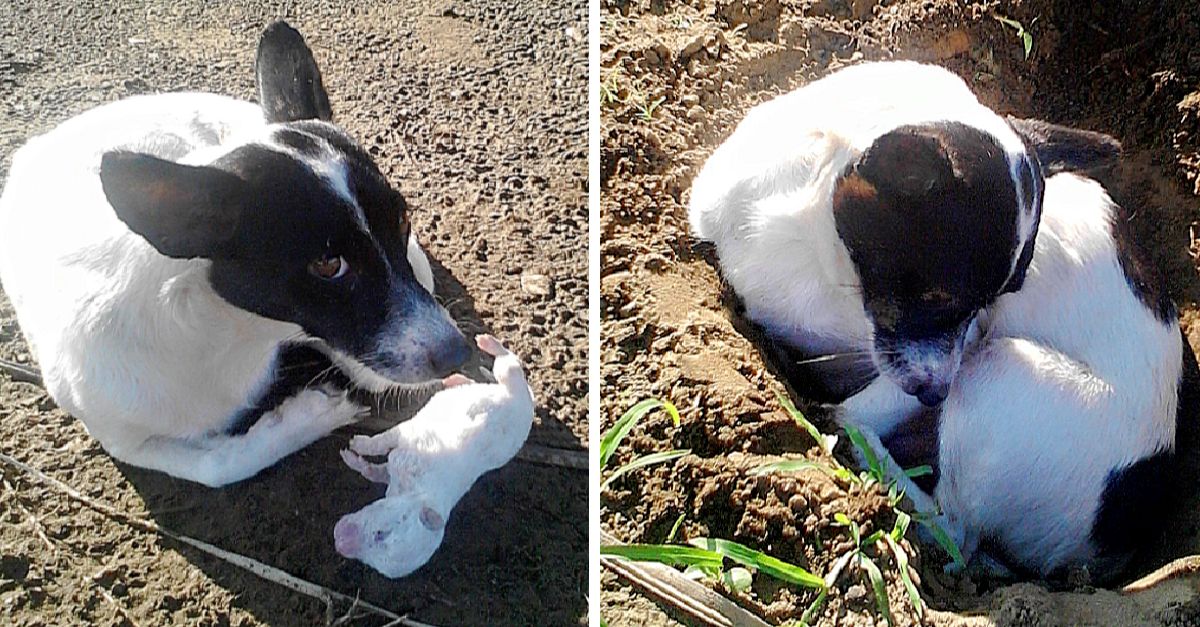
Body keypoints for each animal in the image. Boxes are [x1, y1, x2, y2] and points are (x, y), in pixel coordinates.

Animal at [0, 21, 470, 485]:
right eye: (328, 264)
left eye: (402, 221)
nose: (459, 354)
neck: (229, 337)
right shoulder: (127, 443)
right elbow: (219, 467)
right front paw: (312, 413)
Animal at [331, 331, 532, 576]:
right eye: (381, 533)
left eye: (373, 563)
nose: (339, 542)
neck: (414, 493)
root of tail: (530, 405)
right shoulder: (411, 438)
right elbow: (383, 441)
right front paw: (356, 444)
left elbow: (376, 470)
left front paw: (351, 455)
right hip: (511, 385)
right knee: (508, 365)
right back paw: (482, 343)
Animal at [691, 60, 1195, 578]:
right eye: (937, 300)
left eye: (985, 304)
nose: (937, 396)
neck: (814, 248)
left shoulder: (954, 351)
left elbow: (859, 406)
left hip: (997, 373)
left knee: (951, 527)